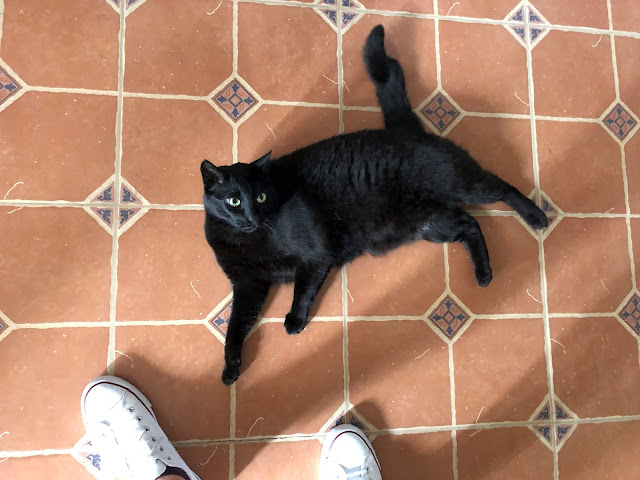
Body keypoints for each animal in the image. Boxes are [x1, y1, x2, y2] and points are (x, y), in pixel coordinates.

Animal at [201, 25, 548, 386]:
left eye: (261, 197)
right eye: (234, 201)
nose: (251, 216)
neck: (249, 240)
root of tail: (407, 129)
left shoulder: (314, 256)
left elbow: (302, 290)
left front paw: (294, 320)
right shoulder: (247, 285)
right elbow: (235, 327)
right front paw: (230, 368)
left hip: (463, 186)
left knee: (503, 188)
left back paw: (536, 216)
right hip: (432, 224)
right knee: (471, 224)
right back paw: (484, 273)